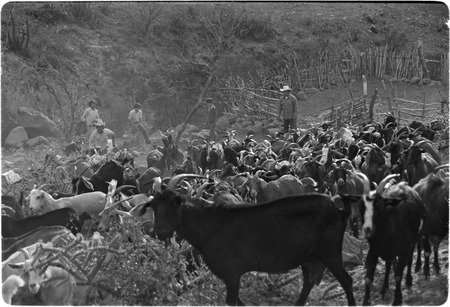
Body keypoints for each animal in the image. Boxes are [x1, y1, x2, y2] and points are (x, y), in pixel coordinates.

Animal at [139, 174, 356, 306]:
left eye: (175, 203)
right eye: (153, 206)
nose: (160, 231)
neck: (210, 226)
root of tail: (339, 210)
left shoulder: (232, 274)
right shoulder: (230, 276)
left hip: (330, 253)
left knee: (347, 281)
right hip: (309, 258)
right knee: (308, 282)